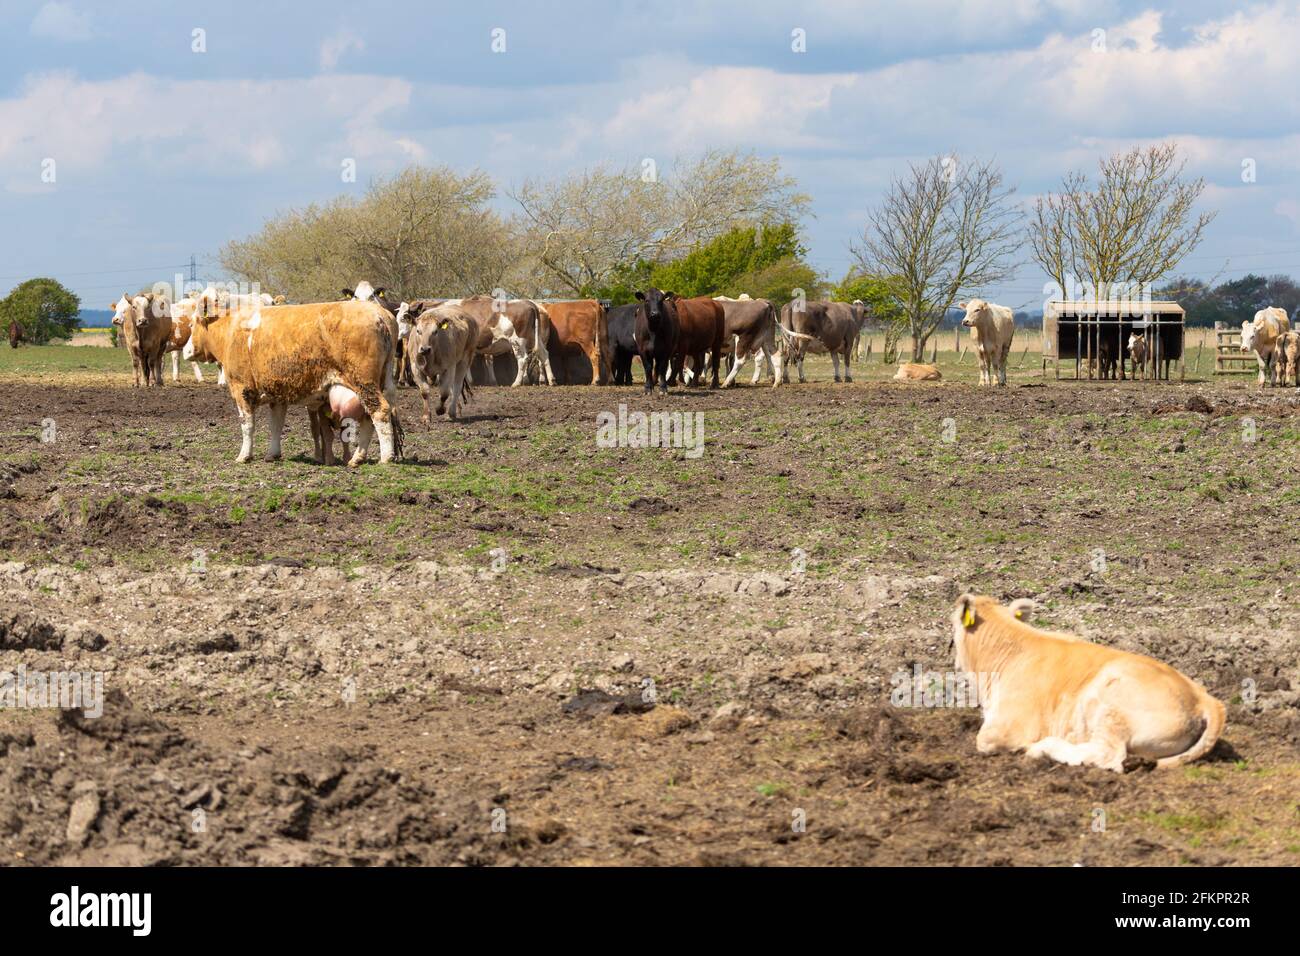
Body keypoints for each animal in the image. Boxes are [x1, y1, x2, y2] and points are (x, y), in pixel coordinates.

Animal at [187, 294, 401, 465]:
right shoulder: (277, 395)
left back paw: (386, 457)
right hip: (378, 383)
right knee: (370, 416)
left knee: (379, 411)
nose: (187, 351)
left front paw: (244, 456)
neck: (234, 329)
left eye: (193, 323)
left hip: (364, 383)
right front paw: (272, 454)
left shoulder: (242, 390)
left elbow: (247, 424)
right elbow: (276, 425)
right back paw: (358, 458)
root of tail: (380, 314)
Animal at [952, 594, 1225, 773]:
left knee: (1108, 756)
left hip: (1110, 707)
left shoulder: (1006, 728)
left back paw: (1042, 748)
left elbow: (983, 741)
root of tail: (1204, 698)